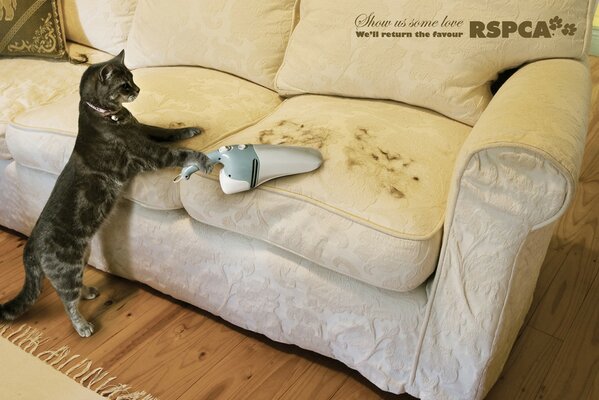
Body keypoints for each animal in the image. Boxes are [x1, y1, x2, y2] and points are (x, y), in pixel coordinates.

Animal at [0, 50, 212, 338]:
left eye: (132, 77)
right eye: (125, 85)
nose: (137, 89)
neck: (112, 116)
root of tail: (30, 246)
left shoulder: (144, 130)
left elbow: (166, 131)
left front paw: (190, 129)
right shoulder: (149, 154)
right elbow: (181, 152)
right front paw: (202, 158)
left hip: (83, 257)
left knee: (74, 290)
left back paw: (89, 291)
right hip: (67, 269)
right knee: (66, 299)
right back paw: (82, 325)